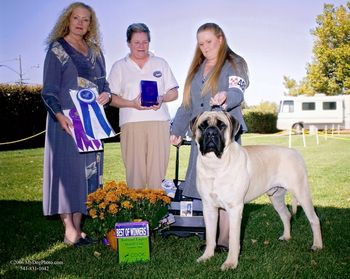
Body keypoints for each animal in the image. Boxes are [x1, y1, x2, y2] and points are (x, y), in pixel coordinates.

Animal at [191, 110, 322, 272]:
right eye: (202, 126)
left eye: (222, 126)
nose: (211, 133)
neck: (214, 165)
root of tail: (295, 152)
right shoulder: (209, 208)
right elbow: (210, 236)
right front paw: (207, 256)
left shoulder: (235, 208)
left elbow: (233, 239)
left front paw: (230, 263)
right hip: (276, 197)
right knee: (286, 215)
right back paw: (286, 237)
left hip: (302, 192)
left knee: (314, 219)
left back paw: (317, 245)